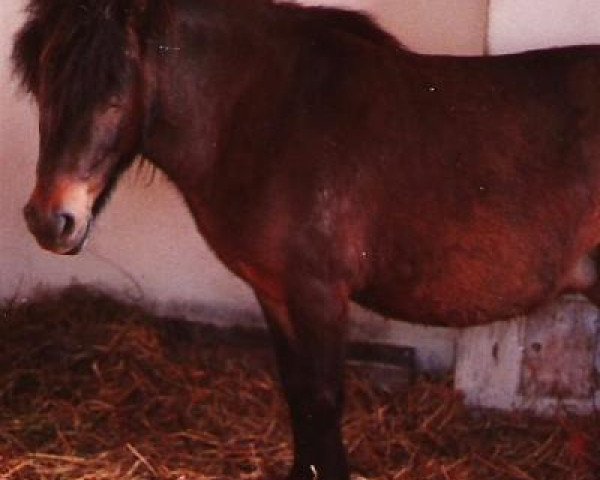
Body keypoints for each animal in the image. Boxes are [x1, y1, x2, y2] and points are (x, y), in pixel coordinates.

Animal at [12, 0, 600, 478]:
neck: (265, 117)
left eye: (115, 94)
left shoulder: (319, 295)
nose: (51, 219)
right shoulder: (275, 293)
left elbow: (322, 399)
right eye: (41, 83)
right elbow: (297, 392)